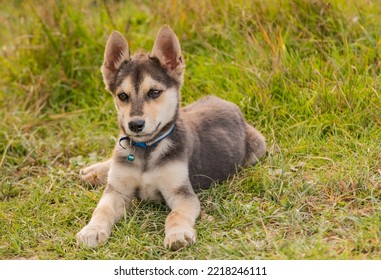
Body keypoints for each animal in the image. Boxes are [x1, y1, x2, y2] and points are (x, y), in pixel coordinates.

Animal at [76, 25, 266, 250]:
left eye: (154, 92)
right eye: (122, 96)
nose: (135, 125)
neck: (147, 149)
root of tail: (230, 104)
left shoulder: (181, 194)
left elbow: (175, 215)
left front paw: (178, 234)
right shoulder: (117, 191)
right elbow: (102, 209)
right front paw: (92, 229)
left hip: (257, 149)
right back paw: (94, 171)